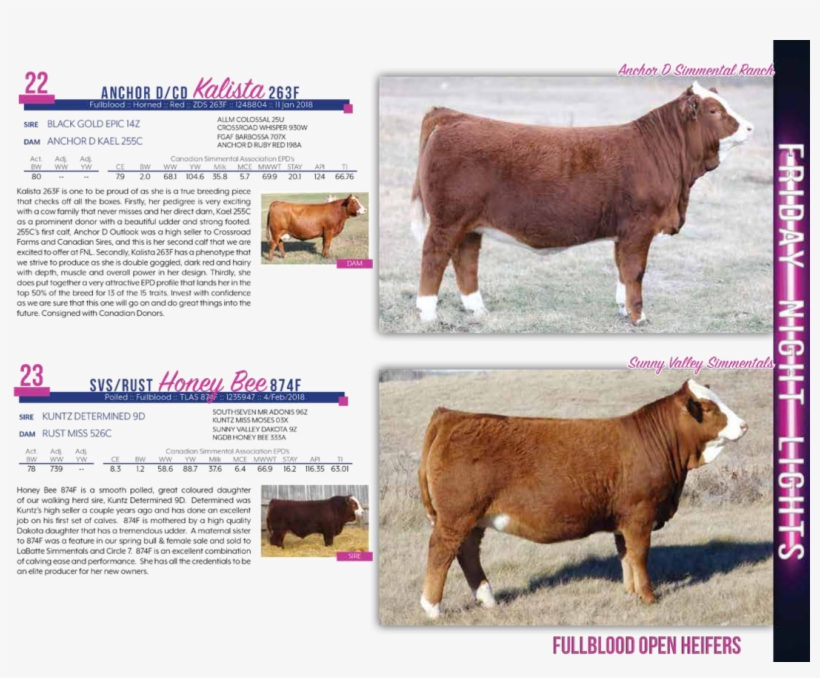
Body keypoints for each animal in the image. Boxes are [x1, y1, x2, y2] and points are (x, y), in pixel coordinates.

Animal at [409, 82, 754, 325]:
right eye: (714, 111)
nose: (750, 126)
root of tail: (452, 116)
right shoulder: (639, 227)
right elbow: (636, 271)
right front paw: (639, 317)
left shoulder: (623, 233)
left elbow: (622, 270)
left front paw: (623, 309)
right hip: (447, 221)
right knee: (434, 257)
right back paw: (428, 313)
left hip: (471, 224)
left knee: (465, 259)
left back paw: (477, 309)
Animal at [416, 380, 748, 619]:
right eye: (709, 407)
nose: (744, 424)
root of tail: (452, 415)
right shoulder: (640, 514)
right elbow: (640, 556)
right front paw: (649, 597)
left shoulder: (622, 519)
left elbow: (626, 557)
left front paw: (630, 593)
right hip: (456, 516)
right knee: (441, 552)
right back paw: (432, 608)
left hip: (471, 519)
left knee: (467, 553)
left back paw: (487, 599)